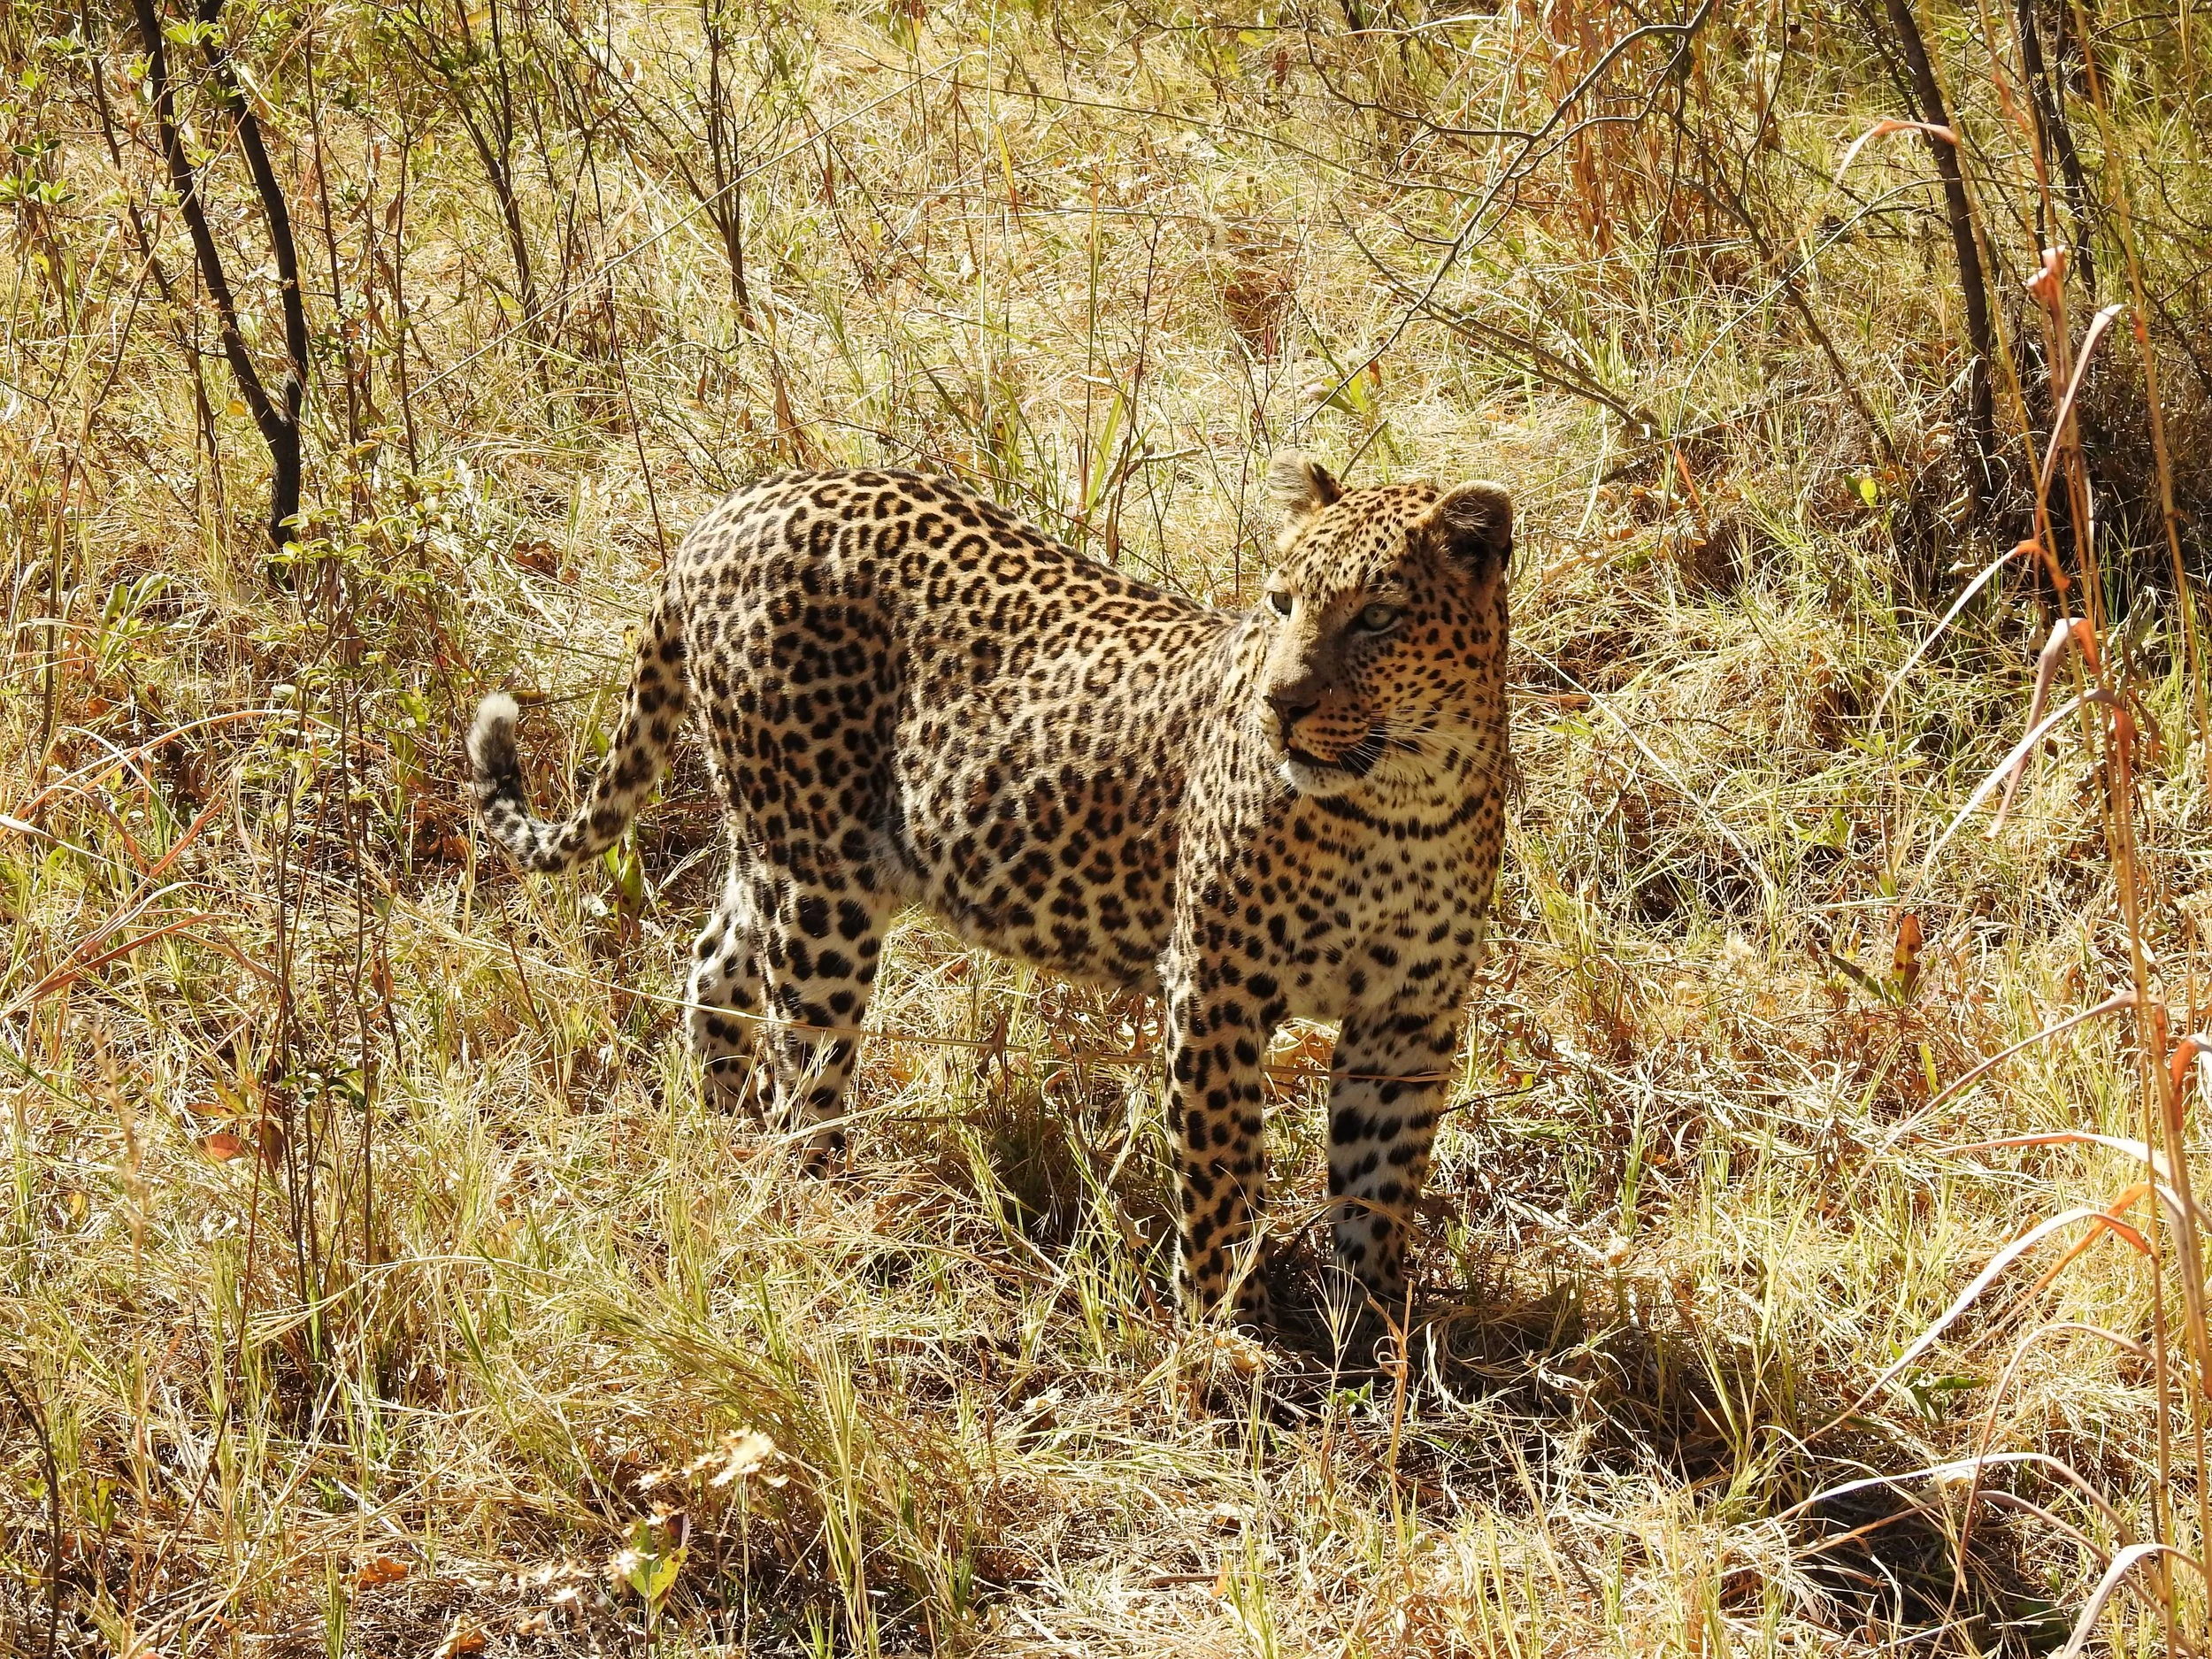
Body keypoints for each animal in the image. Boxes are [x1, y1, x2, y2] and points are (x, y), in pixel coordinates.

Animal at [467, 452, 1514, 1321]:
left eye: (1376, 616)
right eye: (1281, 601)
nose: (1280, 704)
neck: (1401, 800)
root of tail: (734, 508)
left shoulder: (1408, 1017)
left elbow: (1380, 1182)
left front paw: (1376, 1334)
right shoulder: (1215, 992)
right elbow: (1224, 1176)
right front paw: (1226, 1338)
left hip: (780, 847)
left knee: (714, 959)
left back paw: (721, 1124)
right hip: (819, 884)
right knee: (802, 1071)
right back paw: (830, 1220)